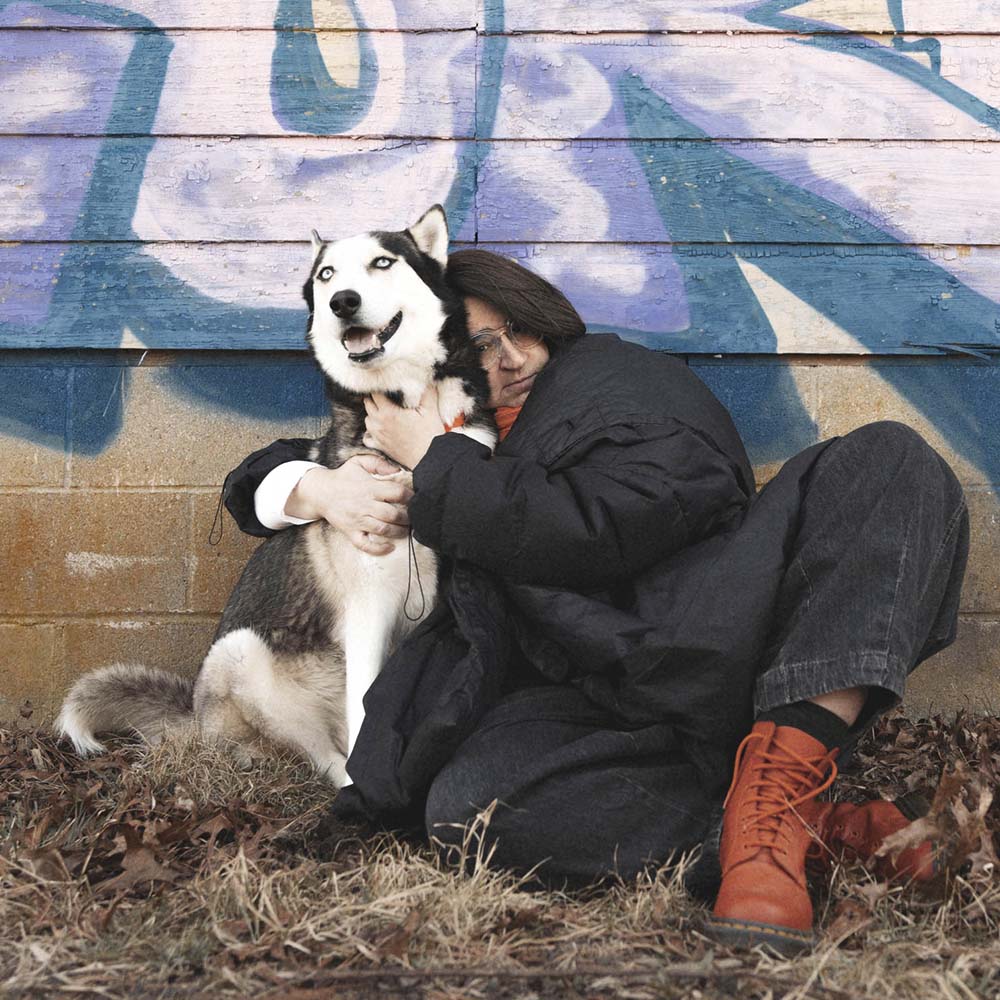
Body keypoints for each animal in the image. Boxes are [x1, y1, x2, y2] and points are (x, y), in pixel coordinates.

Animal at [57, 205, 496, 788]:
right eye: (327, 275)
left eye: (382, 262)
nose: (342, 302)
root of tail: (196, 717)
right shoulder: (368, 609)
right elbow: (367, 706)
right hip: (242, 654)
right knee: (326, 753)